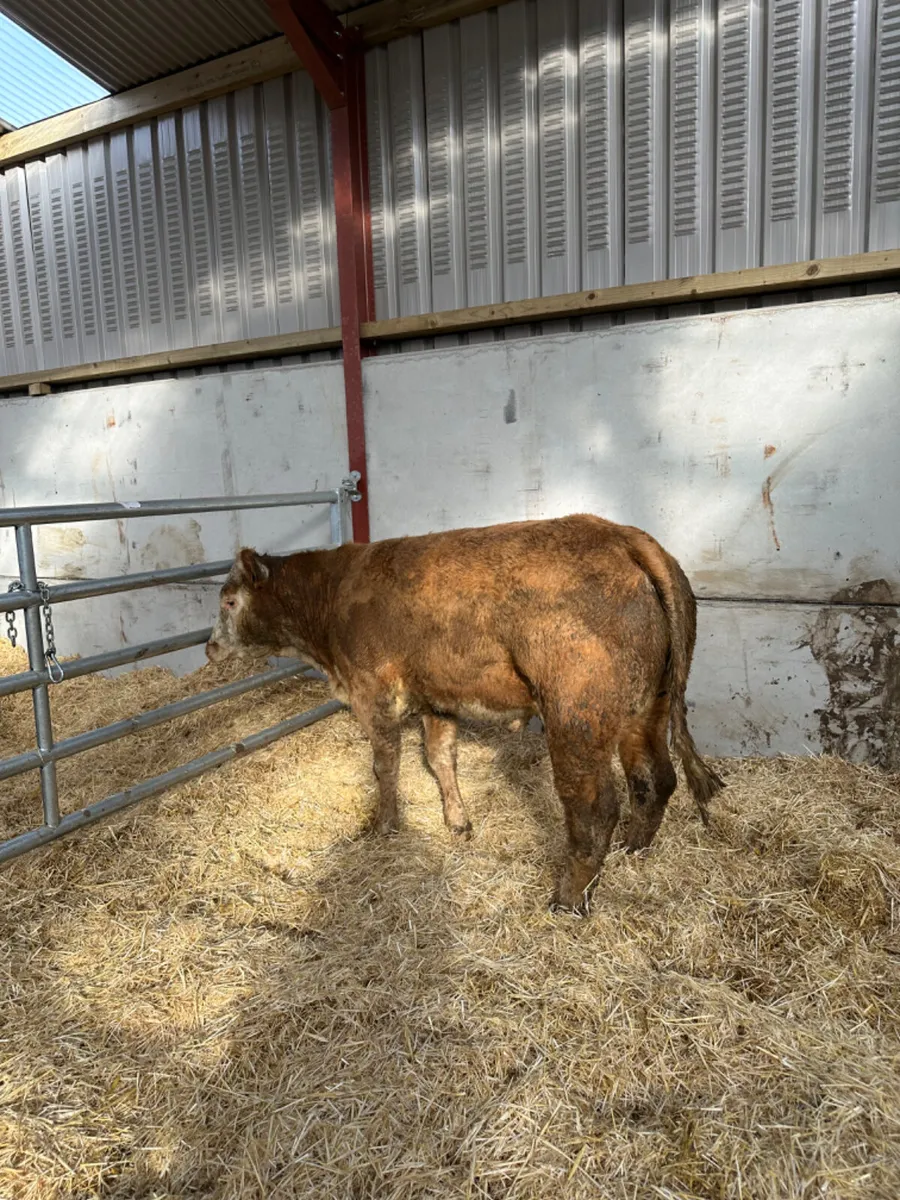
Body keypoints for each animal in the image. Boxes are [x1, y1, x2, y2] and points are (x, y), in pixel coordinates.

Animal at [206, 514, 723, 912]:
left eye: (229, 600)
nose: (209, 648)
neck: (332, 596)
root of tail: (622, 535)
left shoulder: (374, 692)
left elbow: (385, 765)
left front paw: (383, 825)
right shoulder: (438, 698)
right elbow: (440, 758)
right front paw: (457, 821)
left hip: (575, 716)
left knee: (595, 804)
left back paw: (568, 899)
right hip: (648, 706)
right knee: (654, 778)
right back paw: (635, 851)